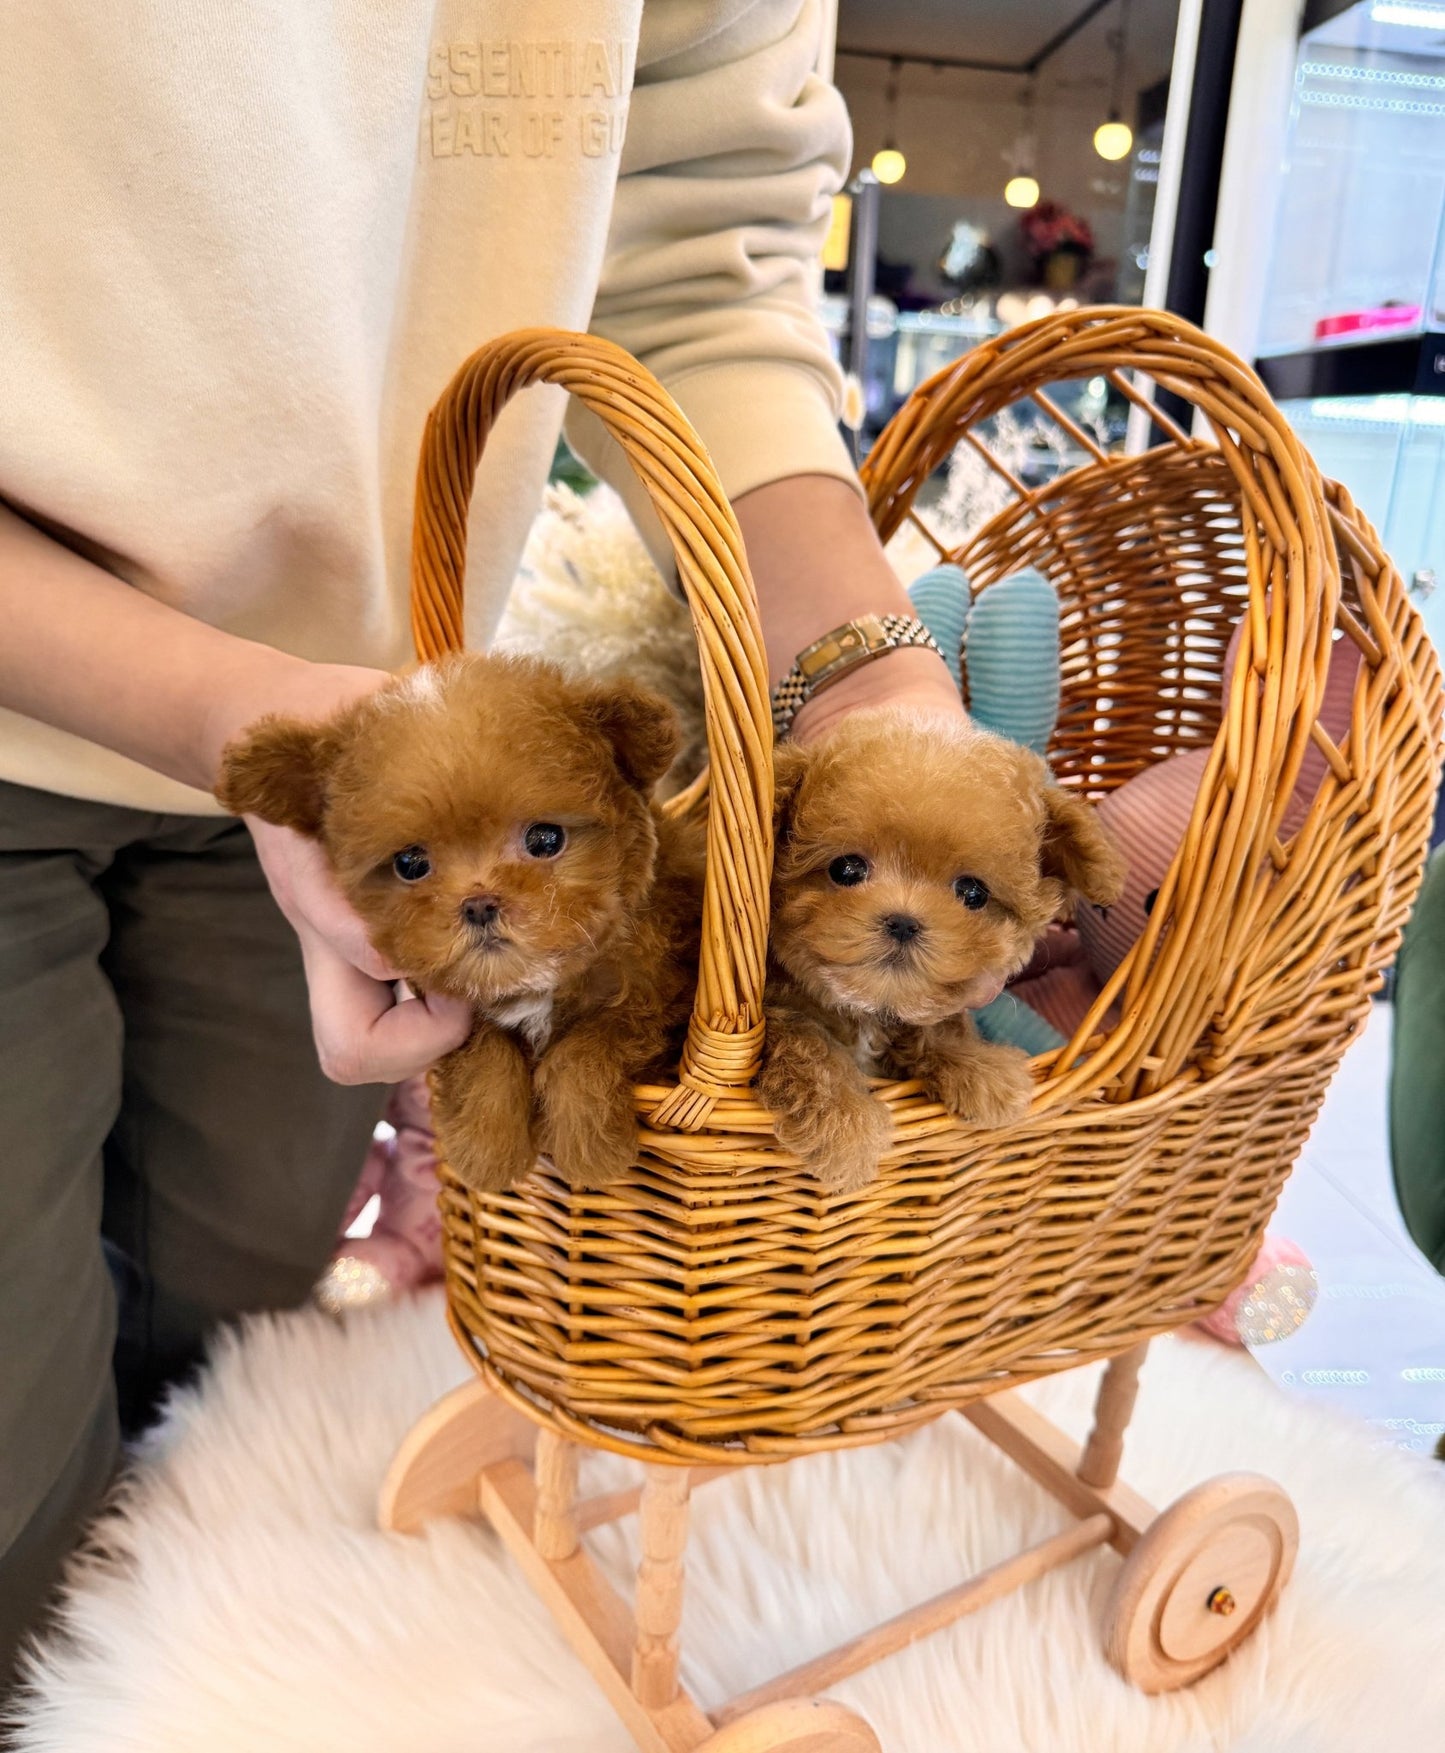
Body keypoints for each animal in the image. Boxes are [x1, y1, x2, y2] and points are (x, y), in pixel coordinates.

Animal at [215, 655, 704, 1192]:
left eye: (545, 839)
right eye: (410, 863)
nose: (478, 905)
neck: (536, 986)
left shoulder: (659, 994)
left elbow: (592, 1042)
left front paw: (589, 1148)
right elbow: (485, 1053)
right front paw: (487, 1149)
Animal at [761, 711, 1122, 1192]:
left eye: (972, 893)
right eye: (846, 869)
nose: (903, 921)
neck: (870, 1009)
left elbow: (937, 1025)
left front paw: (981, 1071)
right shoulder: (776, 1008)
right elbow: (806, 1043)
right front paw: (843, 1124)